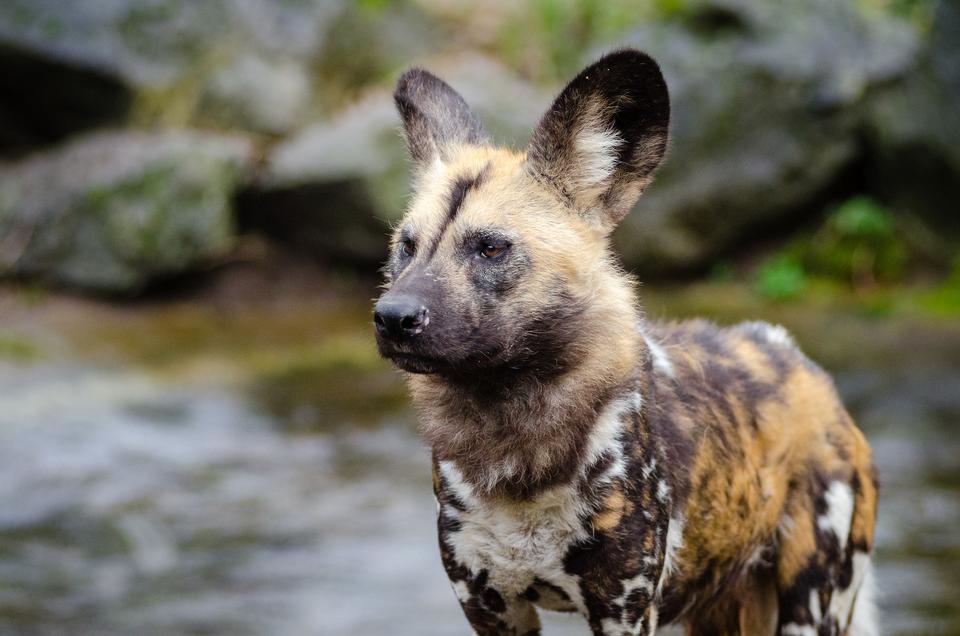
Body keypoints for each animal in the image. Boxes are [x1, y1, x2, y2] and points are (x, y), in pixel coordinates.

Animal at [374, 49, 876, 636]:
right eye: (406, 247)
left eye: (491, 248)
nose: (392, 317)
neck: (516, 445)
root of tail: (799, 360)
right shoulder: (489, 606)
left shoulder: (623, 609)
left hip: (812, 604)